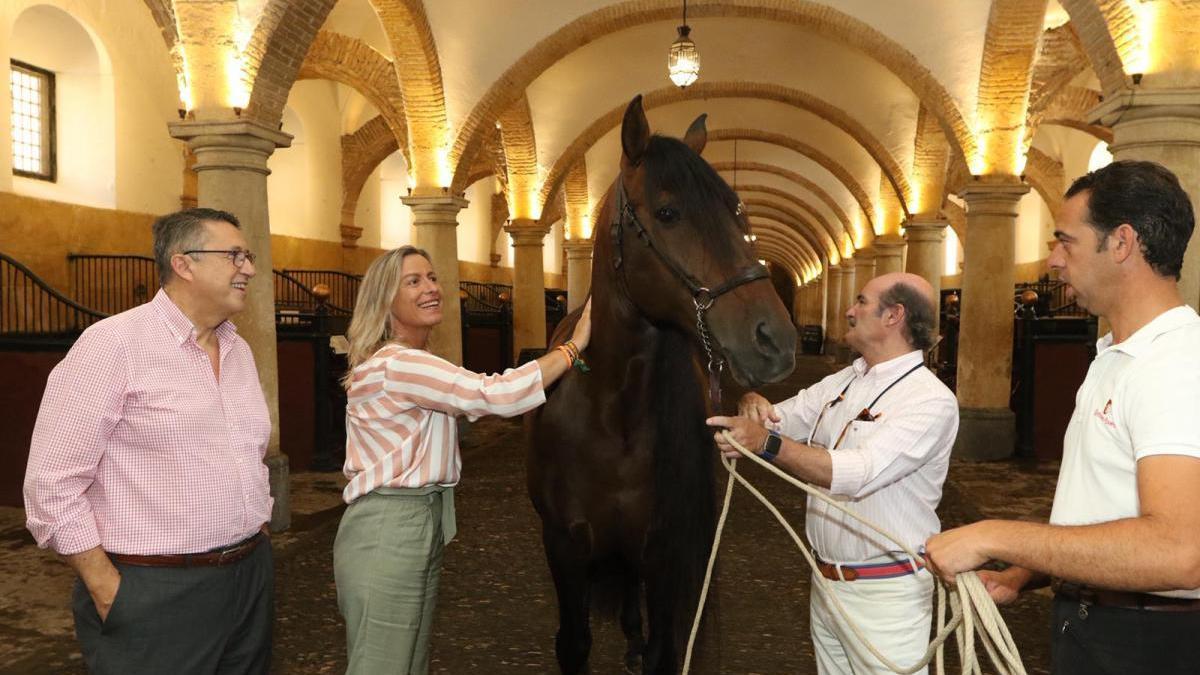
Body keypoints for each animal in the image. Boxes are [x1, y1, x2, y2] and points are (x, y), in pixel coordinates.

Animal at [532, 96, 796, 672]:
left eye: (736, 212)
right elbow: (574, 643)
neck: (610, 414)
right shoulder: (563, 547)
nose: (776, 339)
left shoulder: (661, 550)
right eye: (669, 213)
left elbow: (662, 649)